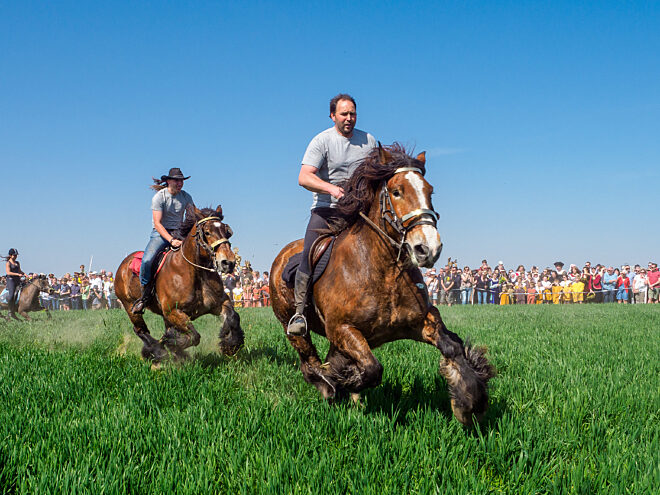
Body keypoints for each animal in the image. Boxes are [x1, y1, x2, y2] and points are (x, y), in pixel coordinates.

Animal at [116, 206, 245, 364]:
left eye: (227, 231)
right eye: (207, 232)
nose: (229, 262)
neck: (195, 273)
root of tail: (123, 265)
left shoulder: (219, 303)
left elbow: (233, 317)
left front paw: (231, 346)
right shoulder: (173, 312)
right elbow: (194, 336)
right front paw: (169, 346)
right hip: (129, 306)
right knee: (140, 330)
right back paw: (157, 352)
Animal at [272, 143, 496, 426]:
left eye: (429, 190)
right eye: (397, 191)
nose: (428, 249)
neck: (384, 272)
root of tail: (281, 256)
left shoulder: (419, 322)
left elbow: (453, 347)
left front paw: (470, 403)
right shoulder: (342, 328)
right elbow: (372, 370)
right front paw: (342, 383)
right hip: (291, 326)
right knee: (309, 362)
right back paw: (329, 389)